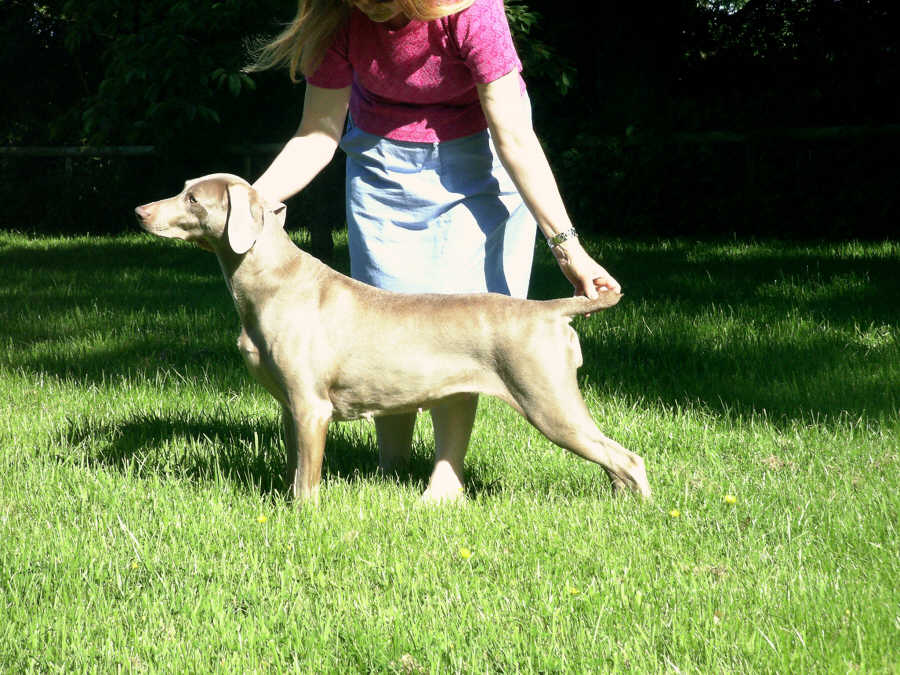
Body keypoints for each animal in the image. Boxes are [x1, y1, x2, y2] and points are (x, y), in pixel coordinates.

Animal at [135, 177, 648, 504]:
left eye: (192, 199)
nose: (139, 211)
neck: (269, 281)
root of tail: (547, 309)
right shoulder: (289, 405)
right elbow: (294, 467)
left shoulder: (311, 406)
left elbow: (307, 481)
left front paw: (303, 517)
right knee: (613, 460)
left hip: (547, 400)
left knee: (629, 458)